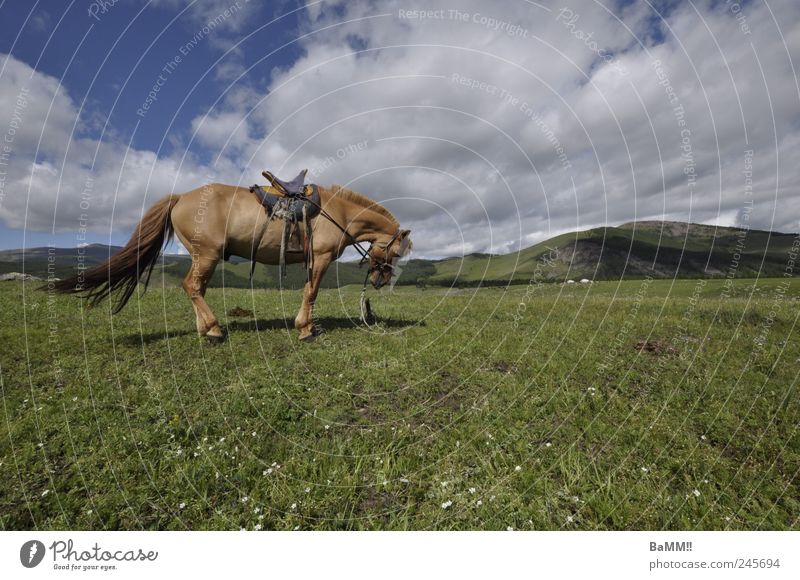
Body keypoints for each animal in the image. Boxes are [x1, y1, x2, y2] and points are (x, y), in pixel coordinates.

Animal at [51, 181, 412, 342]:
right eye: (395, 252)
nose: (380, 281)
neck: (336, 212)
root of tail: (180, 198)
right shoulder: (320, 258)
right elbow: (311, 292)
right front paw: (306, 329)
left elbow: (308, 292)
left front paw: (304, 325)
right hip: (208, 255)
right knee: (192, 286)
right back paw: (213, 330)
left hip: (202, 256)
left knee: (195, 288)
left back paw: (205, 327)